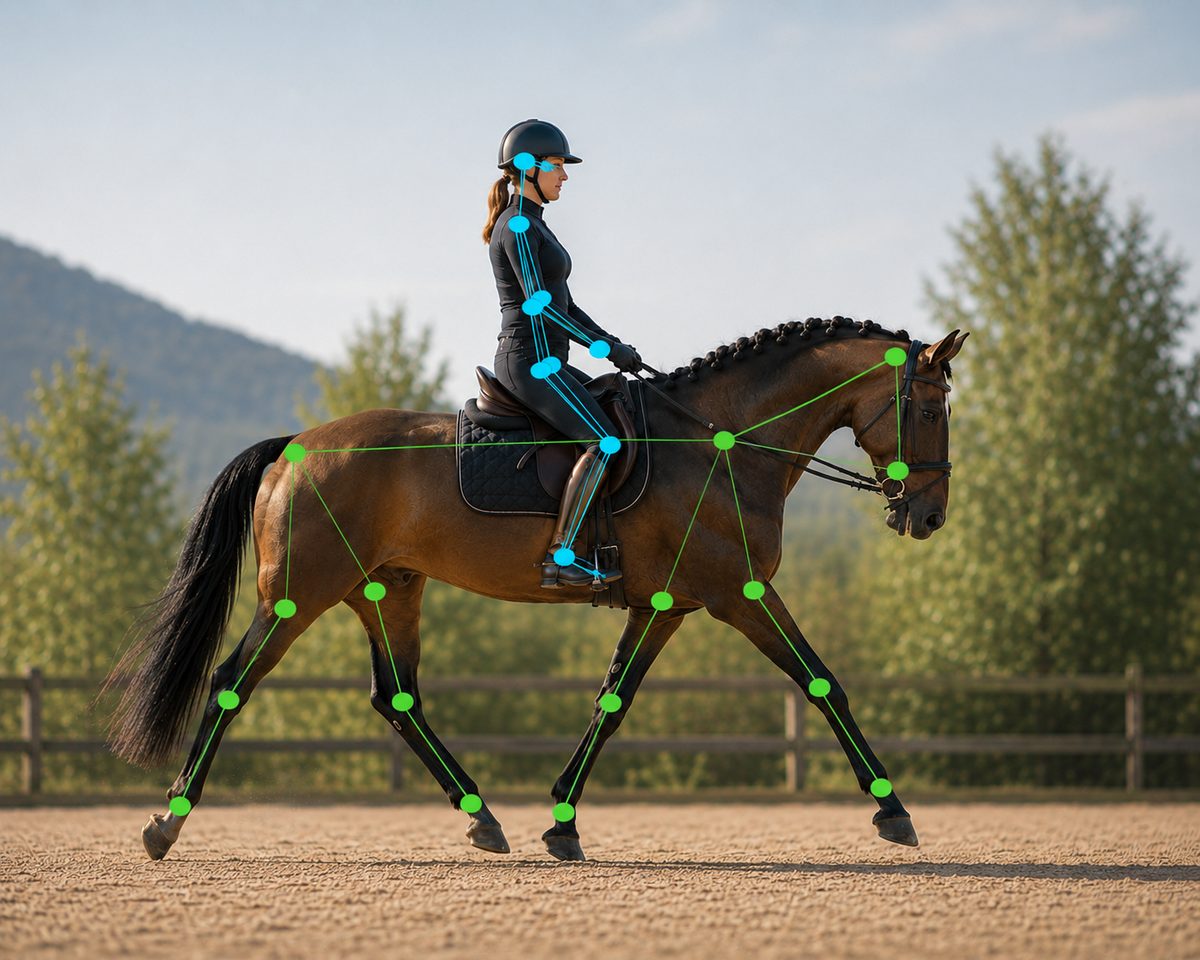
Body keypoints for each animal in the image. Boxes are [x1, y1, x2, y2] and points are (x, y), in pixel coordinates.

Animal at [102, 317, 967, 862]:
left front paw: (562, 824)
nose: (927, 516)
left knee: (398, 700)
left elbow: (612, 702)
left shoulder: (668, 607)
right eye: (929, 407)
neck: (721, 443)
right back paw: (166, 823)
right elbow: (824, 684)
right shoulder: (741, 595)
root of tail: (294, 447)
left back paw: (484, 819)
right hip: (298, 596)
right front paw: (893, 810)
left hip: (388, 589)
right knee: (232, 681)